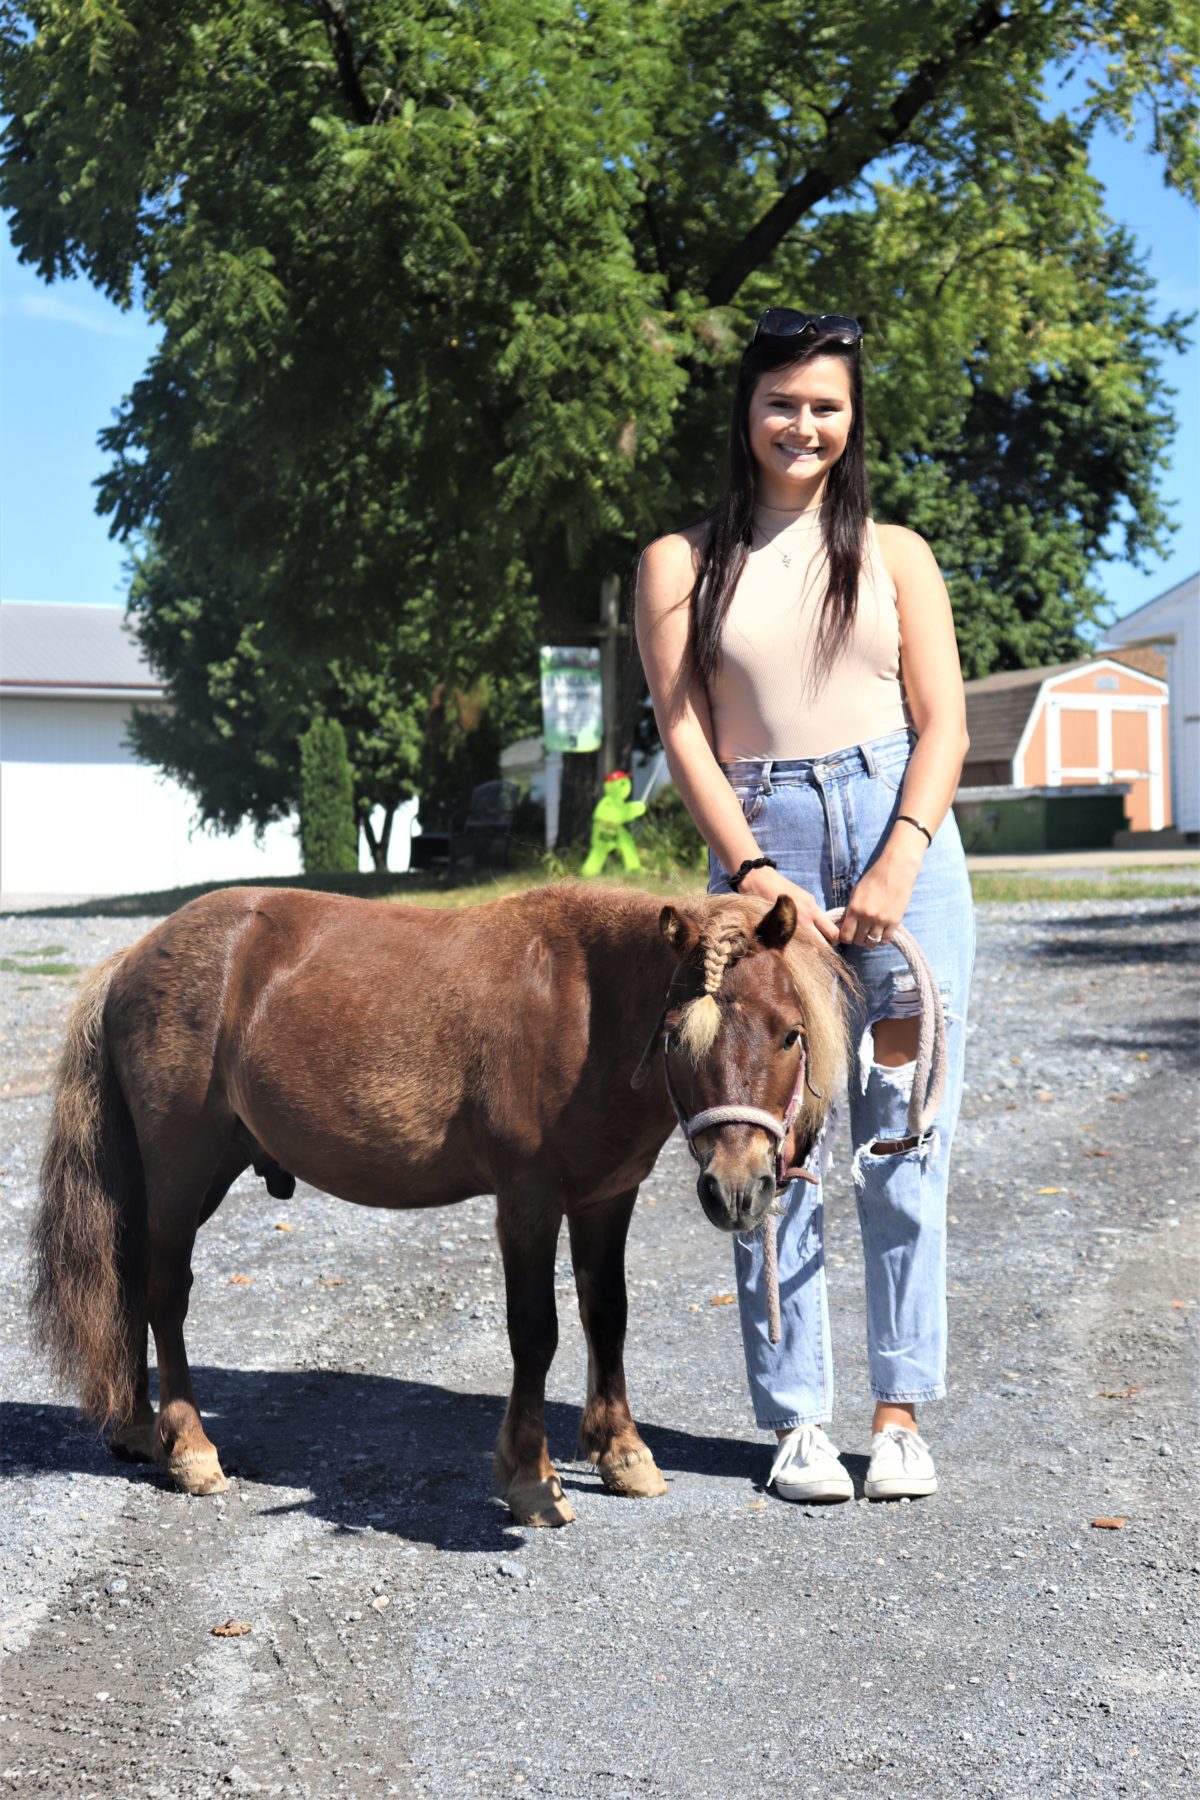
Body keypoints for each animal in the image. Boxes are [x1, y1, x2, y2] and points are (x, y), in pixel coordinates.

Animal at [32, 878, 849, 1526]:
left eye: (790, 1033)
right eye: (677, 1036)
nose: (739, 1189)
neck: (584, 1005)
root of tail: (135, 956)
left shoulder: (606, 1198)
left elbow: (606, 1317)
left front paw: (622, 1454)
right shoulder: (527, 1201)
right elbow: (535, 1333)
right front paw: (531, 1479)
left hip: (200, 1174)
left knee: (131, 1282)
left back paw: (138, 1428)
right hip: (180, 1167)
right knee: (164, 1292)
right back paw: (190, 1449)